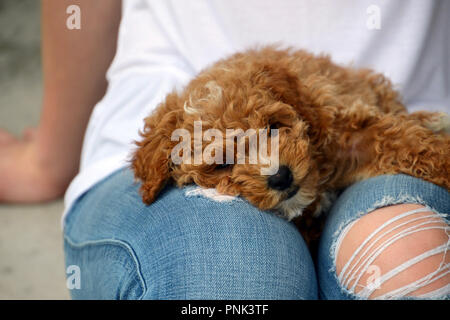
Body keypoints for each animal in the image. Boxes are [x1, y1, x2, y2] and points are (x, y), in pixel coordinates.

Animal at [132, 45, 448, 245]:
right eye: (222, 163)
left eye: (273, 127)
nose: (281, 177)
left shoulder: (344, 130)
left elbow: (406, 141)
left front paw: (444, 157)